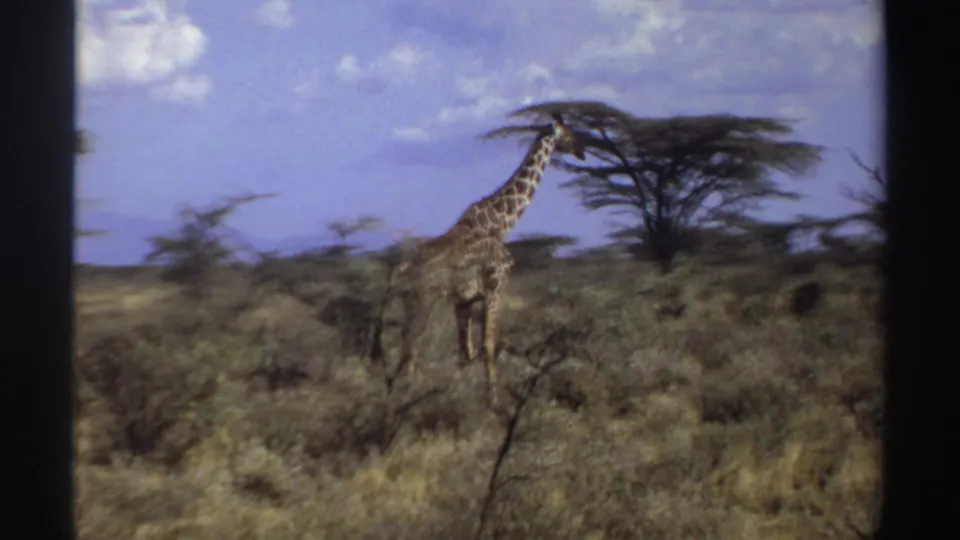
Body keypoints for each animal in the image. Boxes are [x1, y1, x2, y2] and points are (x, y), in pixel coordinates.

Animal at [388, 113, 585, 404]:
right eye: (569, 134)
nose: (582, 151)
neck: (501, 223)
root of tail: (400, 268)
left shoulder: (465, 300)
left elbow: (466, 351)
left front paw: (453, 394)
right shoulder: (495, 287)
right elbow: (488, 347)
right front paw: (493, 402)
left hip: (412, 303)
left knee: (406, 346)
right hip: (423, 301)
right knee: (411, 346)